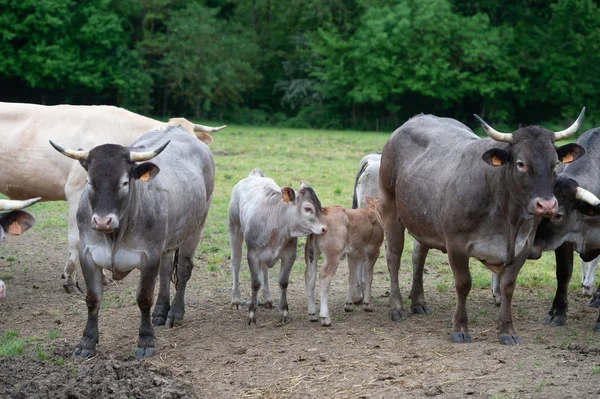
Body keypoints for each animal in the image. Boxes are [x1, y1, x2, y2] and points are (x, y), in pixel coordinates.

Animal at [49, 126, 214, 360]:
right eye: (89, 182)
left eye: (124, 183)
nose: (102, 221)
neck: (115, 235)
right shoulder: (87, 254)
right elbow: (93, 299)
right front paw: (87, 342)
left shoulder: (149, 256)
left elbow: (144, 298)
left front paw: (146, 341)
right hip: (167, 242)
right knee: (165, 271)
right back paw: (160, 312)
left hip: (196, 228)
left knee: (183, 270)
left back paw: (175, 312)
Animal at [229, 170, 328, 326]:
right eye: (308, 208)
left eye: (319, 206)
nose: (324, 228)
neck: (276, 221)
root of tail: (254, 175)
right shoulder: (252, 255)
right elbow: (255, 283)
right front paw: (252, 313)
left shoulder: (289, 255)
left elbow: (283, 282)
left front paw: (284, 312)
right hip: (234, 227)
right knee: (236, 263)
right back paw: (235, 299)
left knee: (265, 270)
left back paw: (268, 299)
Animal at [304, 195, 384, 326]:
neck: (373, 211)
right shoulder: (373, 251)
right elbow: (368, 277)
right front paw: (367, 304)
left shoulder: (354, 255)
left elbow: (352, 277)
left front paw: (348, 305)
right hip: (333, 254)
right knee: (324, 277)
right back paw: (325, 317)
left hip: (311, 254)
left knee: (309, 277)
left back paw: (312, 314)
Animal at [380, 110, 584, 346]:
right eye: (521, 163)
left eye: (555, 163)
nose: (547, 205)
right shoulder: (456, 244)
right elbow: (463, 284)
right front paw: (459, 328)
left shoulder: (523, 246)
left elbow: (508, 287)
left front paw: (507, 330)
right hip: (390, 207)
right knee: (394, 256)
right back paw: (397, 307)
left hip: (423, 222)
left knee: (418, 256)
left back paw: (418, 302)